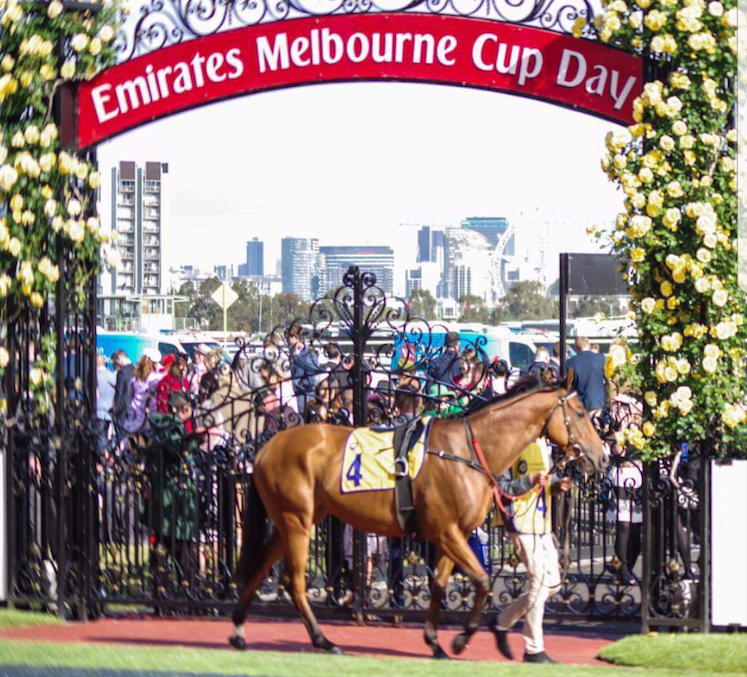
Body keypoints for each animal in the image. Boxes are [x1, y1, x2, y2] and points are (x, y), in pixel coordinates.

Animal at [229, 372, 608, 656]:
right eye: (579, 413)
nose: (601, 456)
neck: (466, 451)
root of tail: (265, 447)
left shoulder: (451, 534)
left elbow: (439, 584)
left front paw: (435, 641)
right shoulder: (446, 532)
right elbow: (482, 580)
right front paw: (460, 639)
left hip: (293, 520)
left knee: (261, 568)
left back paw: (238, 631)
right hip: (296, 521)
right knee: (293, 580)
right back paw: (323, 640)